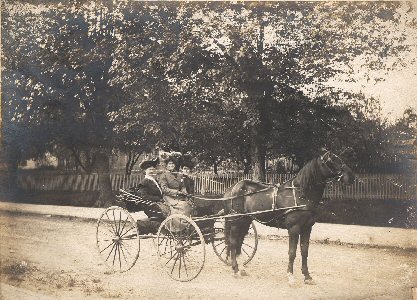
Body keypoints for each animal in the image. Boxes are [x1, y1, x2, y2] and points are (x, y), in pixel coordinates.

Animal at [223, 151, 352, 284]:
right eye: (330, 161)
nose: (350, 176)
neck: (301, 194)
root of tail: (231, 189)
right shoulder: (294, 229)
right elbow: (292, 252)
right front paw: (290, 276)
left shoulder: (307, 228)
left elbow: (304, 251)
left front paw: (307, 276)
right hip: (236, 221)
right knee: (233, 242)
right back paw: (236, 269)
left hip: (245, 221)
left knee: (239, 242)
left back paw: (241, 269)